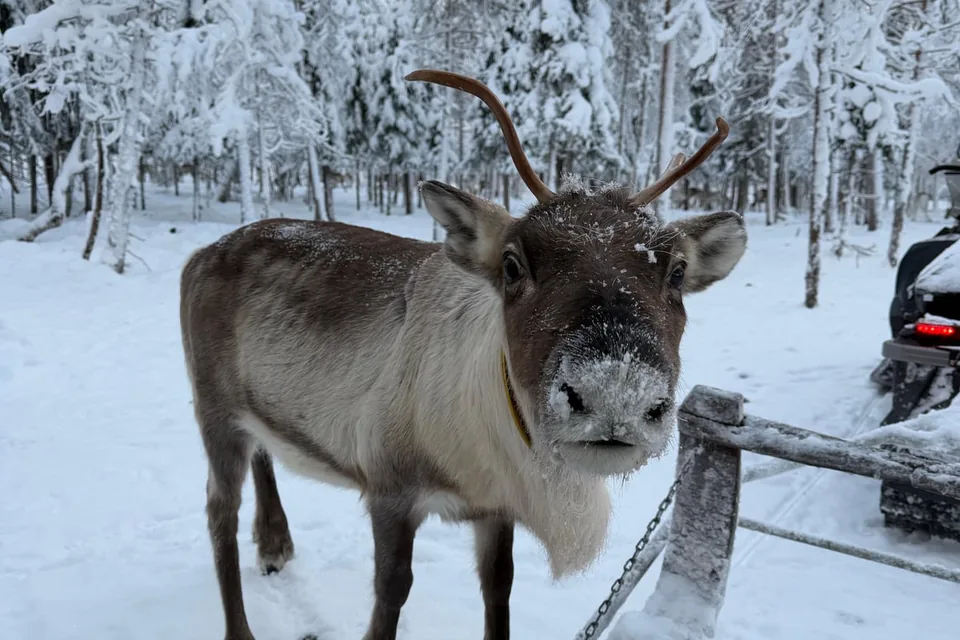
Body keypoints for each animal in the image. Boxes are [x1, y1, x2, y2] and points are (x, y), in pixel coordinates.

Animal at [179, 69, 747, 640]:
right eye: (513, 265)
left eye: (677, 271)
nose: (615, 396)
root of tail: (201, 255)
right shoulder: (389, 487)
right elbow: (391, 593)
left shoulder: (495, 508)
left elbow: (499, 589)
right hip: (213, 409)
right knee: (217, 511)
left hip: (256, 407)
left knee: (263, 453)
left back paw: (275, 544)